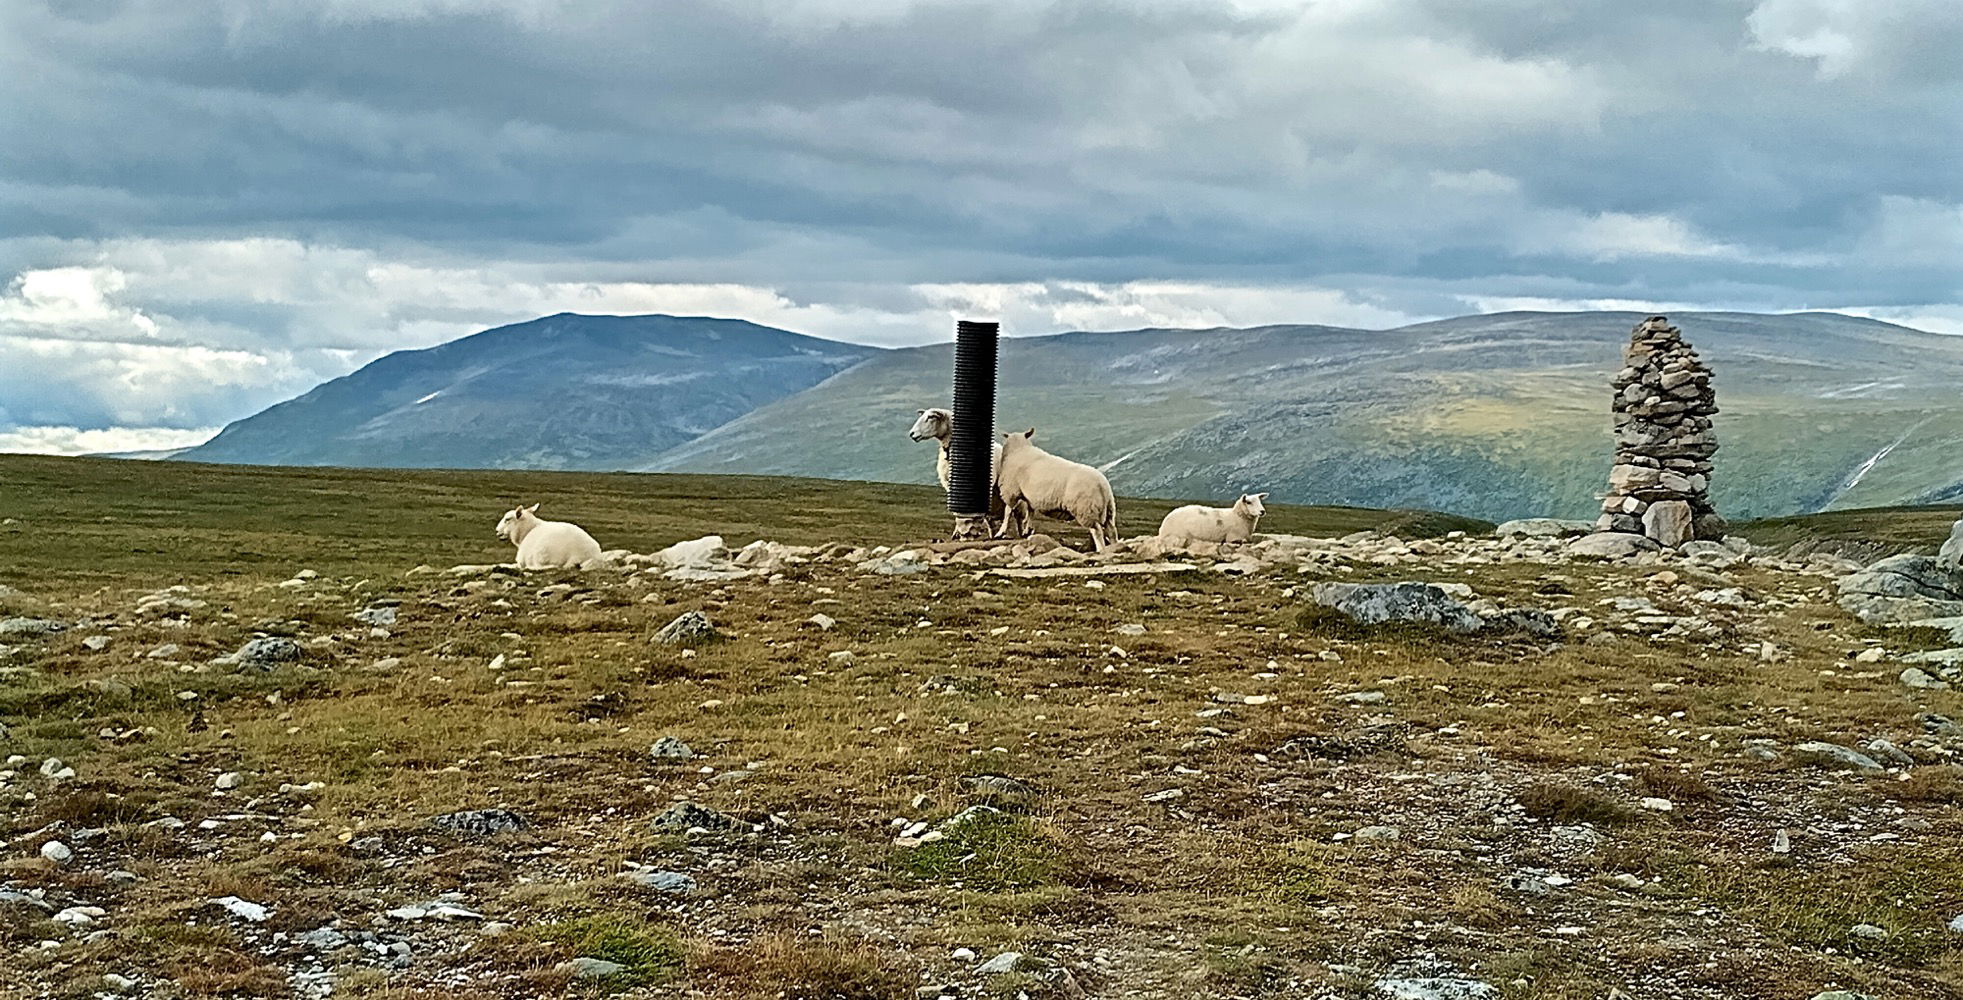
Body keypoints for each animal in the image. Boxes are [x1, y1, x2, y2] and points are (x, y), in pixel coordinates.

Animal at [997, 426, 1122, 554]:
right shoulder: (1029, 496)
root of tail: (1102, 485)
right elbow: (1030, 512)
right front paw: (1028, 530)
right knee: (1112, 531)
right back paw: (1114, 546)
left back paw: (1101, 549)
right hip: (1109, 511)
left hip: (1086, 510)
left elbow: (1008, 511)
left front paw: (1001, 532)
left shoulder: (1011, 491)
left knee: (1097, 531)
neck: (1019, 450)